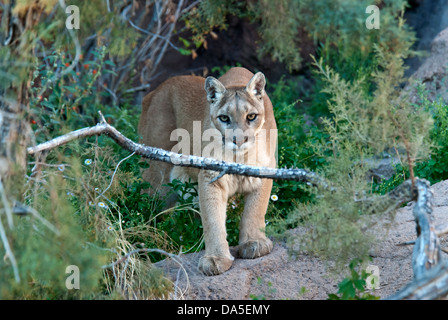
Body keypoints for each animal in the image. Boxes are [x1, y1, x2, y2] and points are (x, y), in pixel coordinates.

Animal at [138, 67, 276, 276]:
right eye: (224, 118)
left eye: (251, 116)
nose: (239, 140)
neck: (240, 157)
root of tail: (154, 91)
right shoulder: (211, 178)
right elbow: (213, 219)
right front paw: (216, 258)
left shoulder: (264, 171)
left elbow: (255, 210)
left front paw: (254, 242)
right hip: (157, 179)